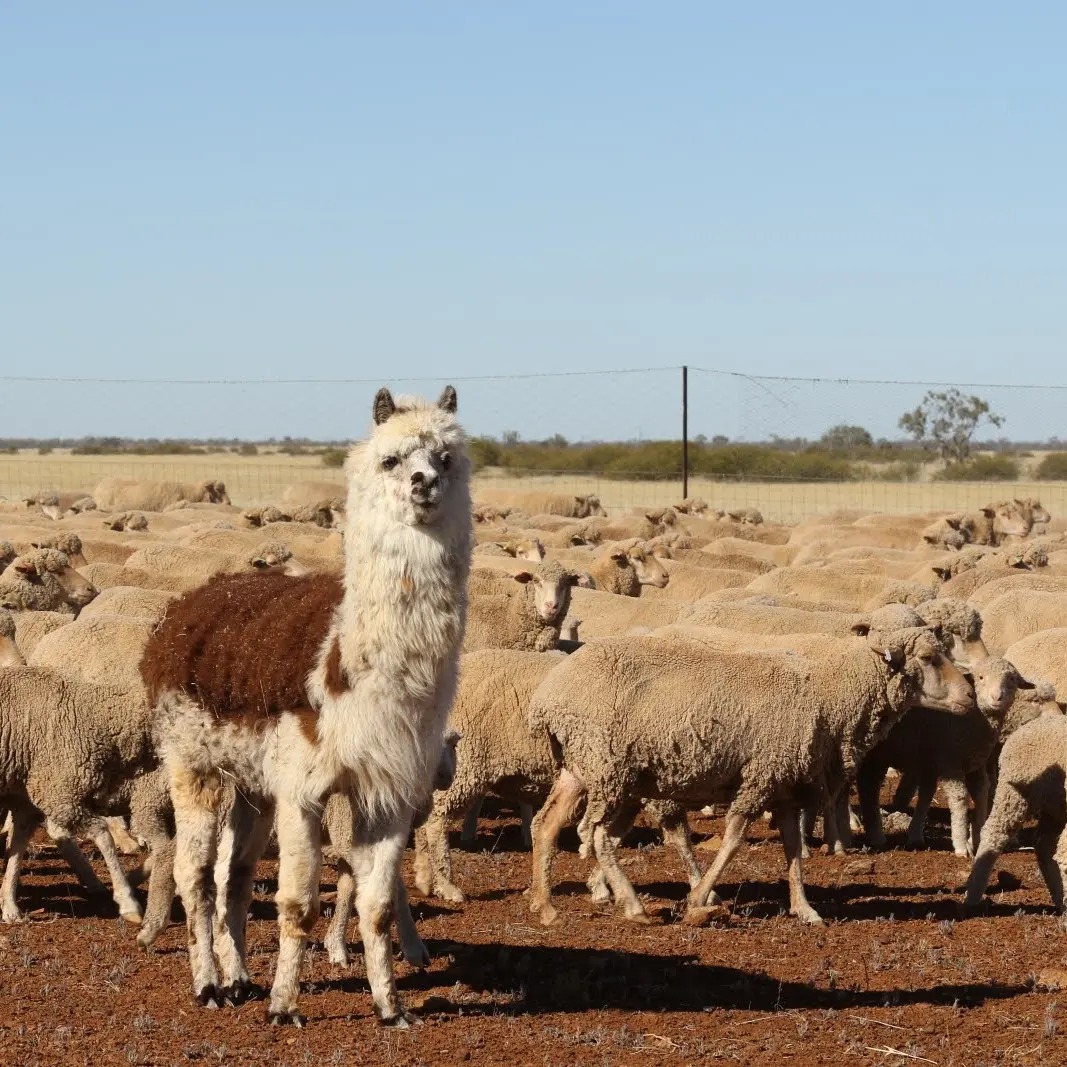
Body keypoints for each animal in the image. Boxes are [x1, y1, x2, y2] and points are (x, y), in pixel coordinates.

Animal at [527, 623, 977, 926]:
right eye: (928, 658)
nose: (971, 695)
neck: (828, 698)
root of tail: (549, 695)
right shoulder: (761, 776)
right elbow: (733, 840)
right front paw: (701, 898)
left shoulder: (785, 788)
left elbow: (793, 849)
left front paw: (805, 909)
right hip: (609, 769)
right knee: (596, 834)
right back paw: (632, 905)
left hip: (579, 768)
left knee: (546, 824)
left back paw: (546, 906)